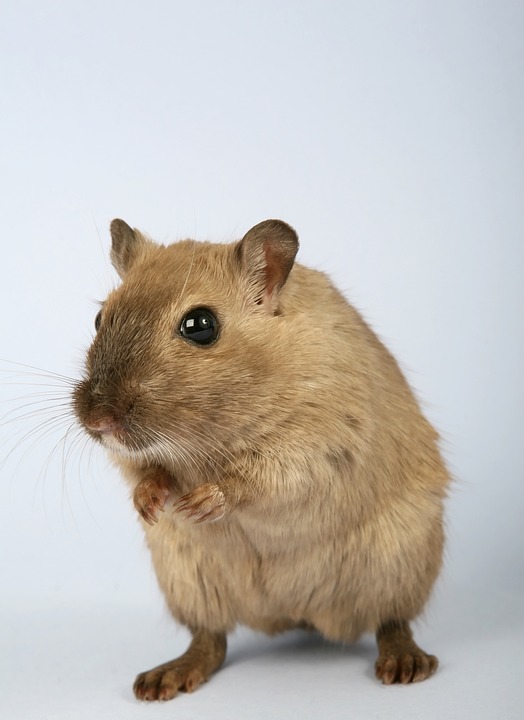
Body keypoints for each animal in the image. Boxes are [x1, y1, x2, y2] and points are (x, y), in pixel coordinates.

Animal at [73, 218, 449, 701]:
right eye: (99, 318)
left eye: (200, 325)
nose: (97, 421)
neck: (206, 437)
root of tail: (297, 615)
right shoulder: (139, 459)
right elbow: (145, 471)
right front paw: (151, 502)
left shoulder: (320, 440)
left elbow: (260, 480)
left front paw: (203, 502)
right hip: (187, 580)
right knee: (210, 638)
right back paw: (165, 678)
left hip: (400, 563)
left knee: (392, 621)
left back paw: (405, 662)